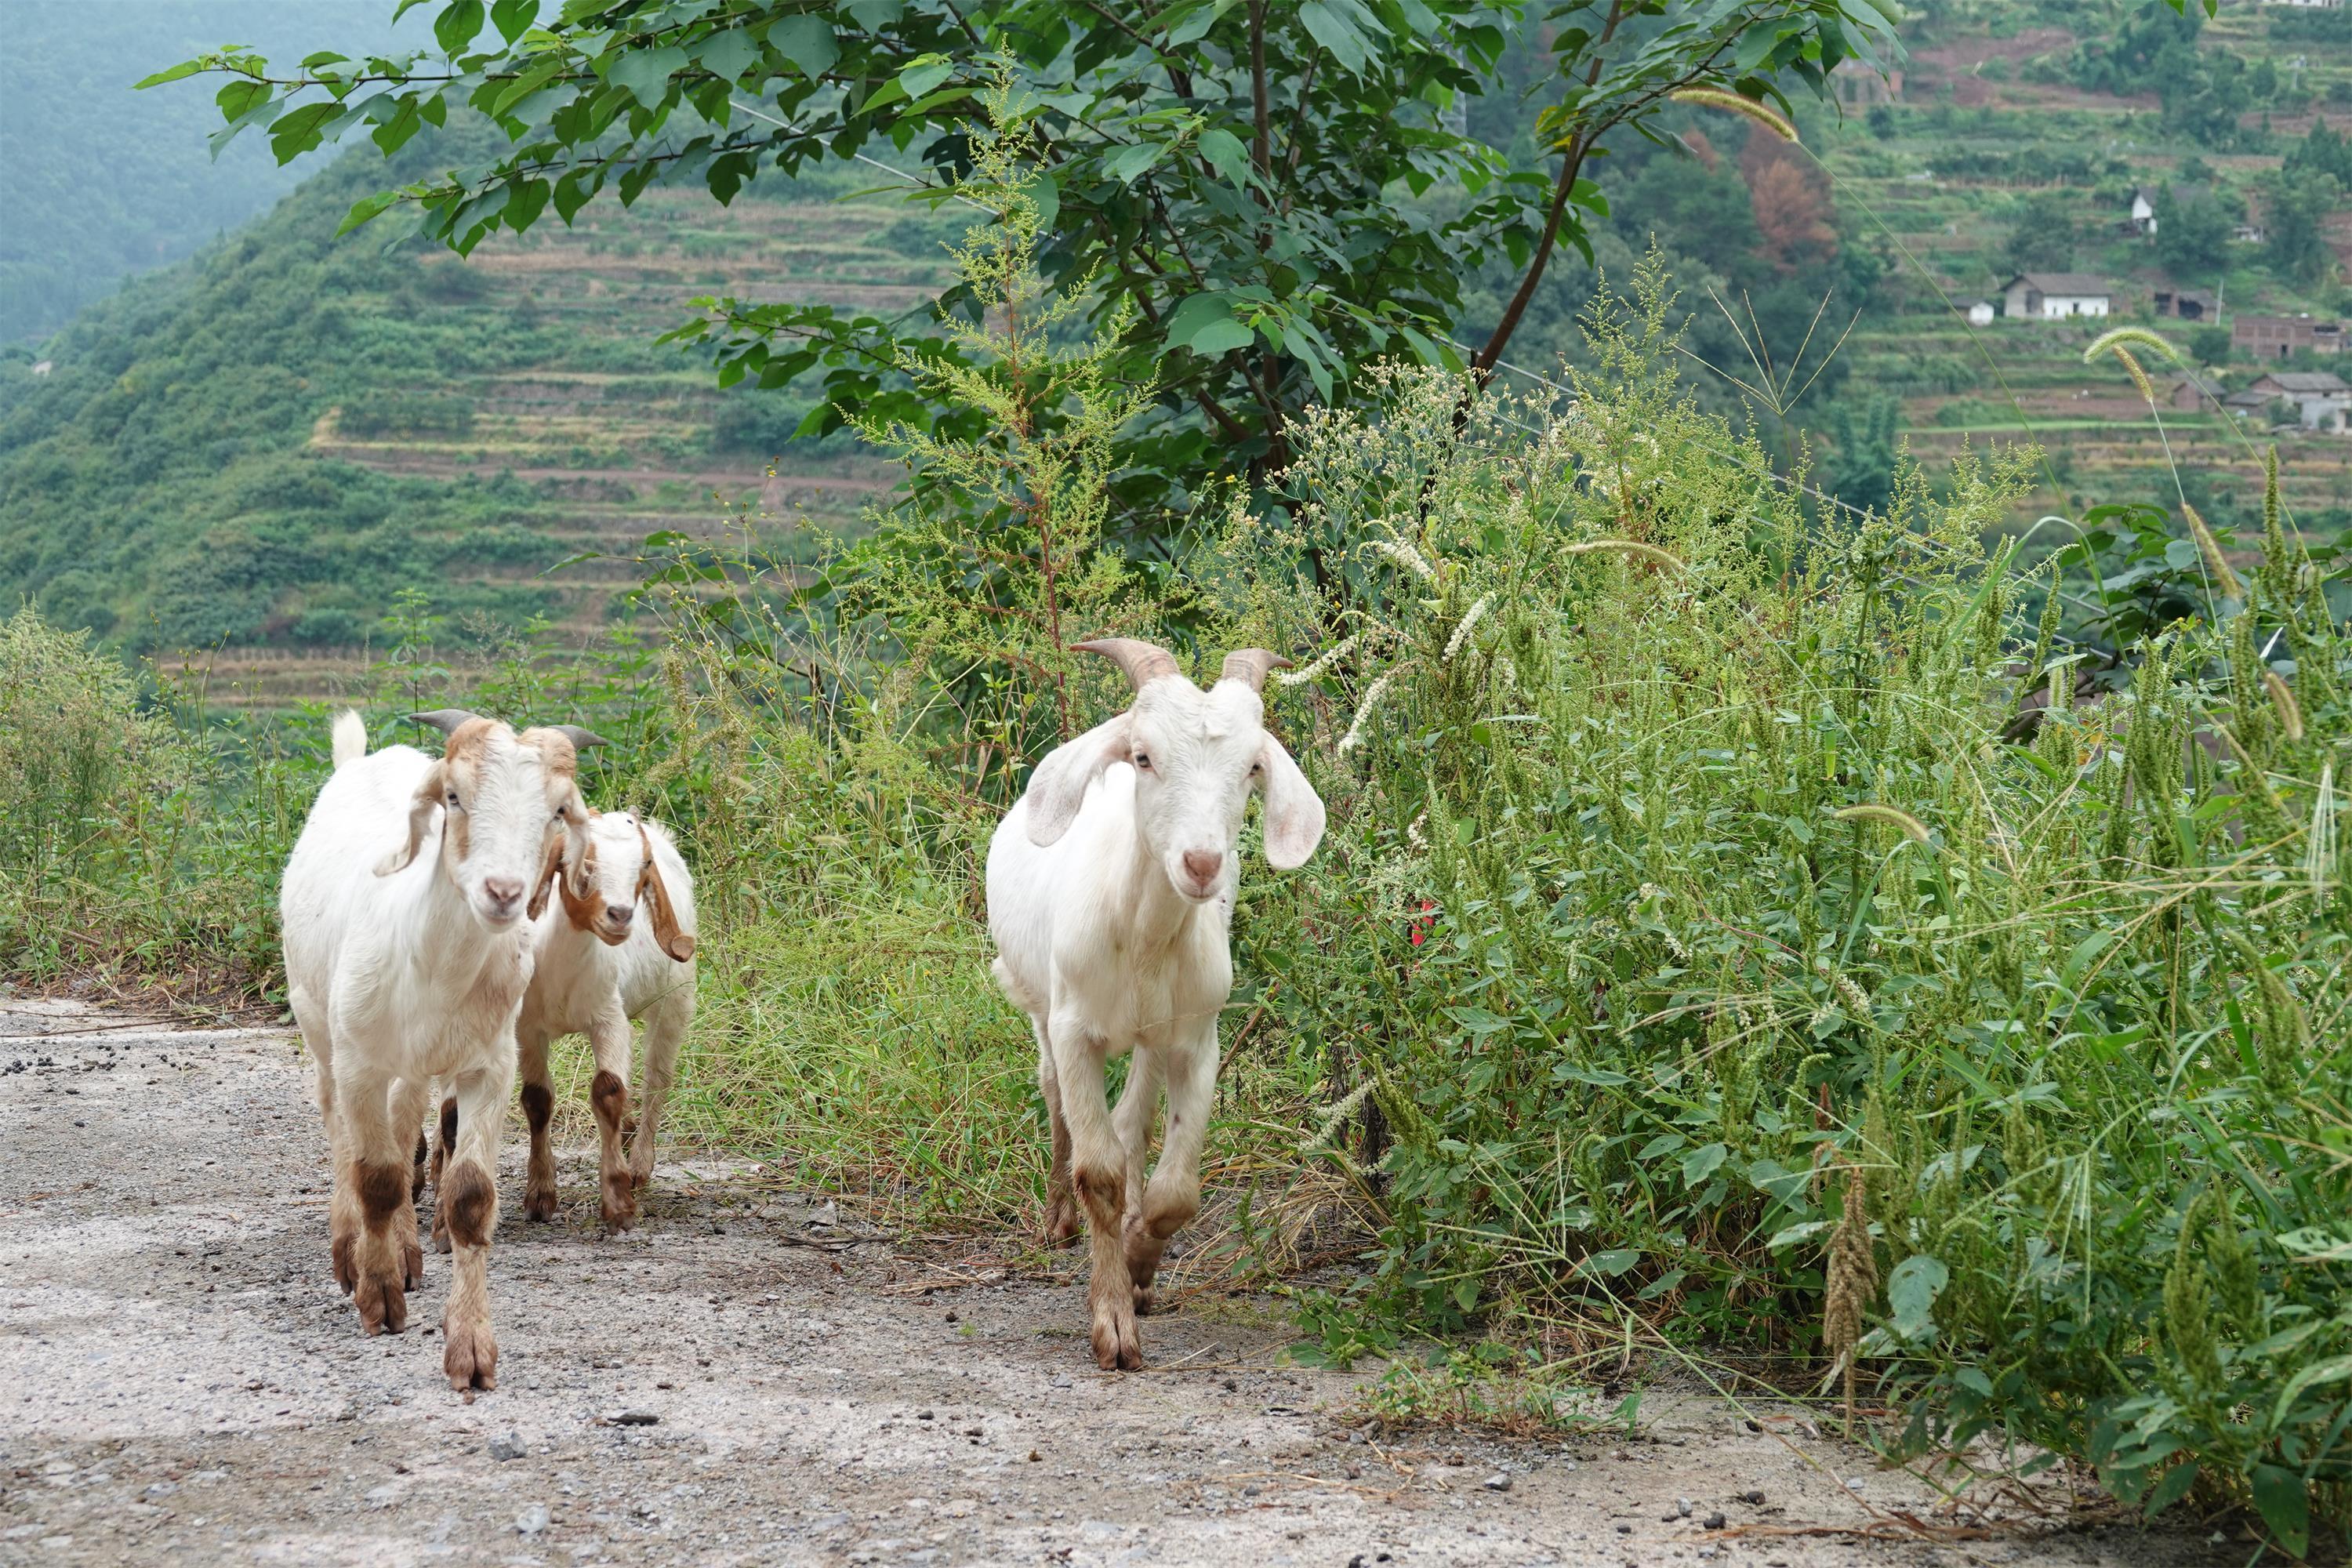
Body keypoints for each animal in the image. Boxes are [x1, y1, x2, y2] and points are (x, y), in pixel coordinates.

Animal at [282, 705, 597, 1392]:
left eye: (558, 810)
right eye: (453, 796)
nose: (504, 892)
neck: (430, 963)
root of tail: (360, 761)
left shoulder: (488, 1067)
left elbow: (469, 1197)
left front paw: (471, 1349)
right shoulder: (360, 1060)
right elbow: (374, 1177)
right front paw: (377, 1298)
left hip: (418, 1067)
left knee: (405, 1128)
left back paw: (404, 1248)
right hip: (317, 1021)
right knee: (339, 1128)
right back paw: (350, 1246)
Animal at [428, 808, 696, 1241]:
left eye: (644, 866)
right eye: (583, 863)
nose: (620, 916)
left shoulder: (609, 1021)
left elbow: (608, 1092)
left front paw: (618, 1203)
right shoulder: (526, 1030)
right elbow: (536, 1100)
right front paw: (540, 1197)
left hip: (675, 1001)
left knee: (657, 1079)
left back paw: (639, 1165)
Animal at [988, 644, 1336, 1363]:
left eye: (1252, 766)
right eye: (1144, 756)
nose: (1202, 864)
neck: (1142, 938)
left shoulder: (1196, 1040)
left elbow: (1174, 1191)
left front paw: (1139, 1266)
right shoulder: (1075, 1029)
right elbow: (1098, 1170)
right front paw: (1113, 1324)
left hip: (1152, 1035)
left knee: (1133, 1121)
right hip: (1039, 1001)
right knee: (1053, 1092)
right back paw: (1058, 1218)